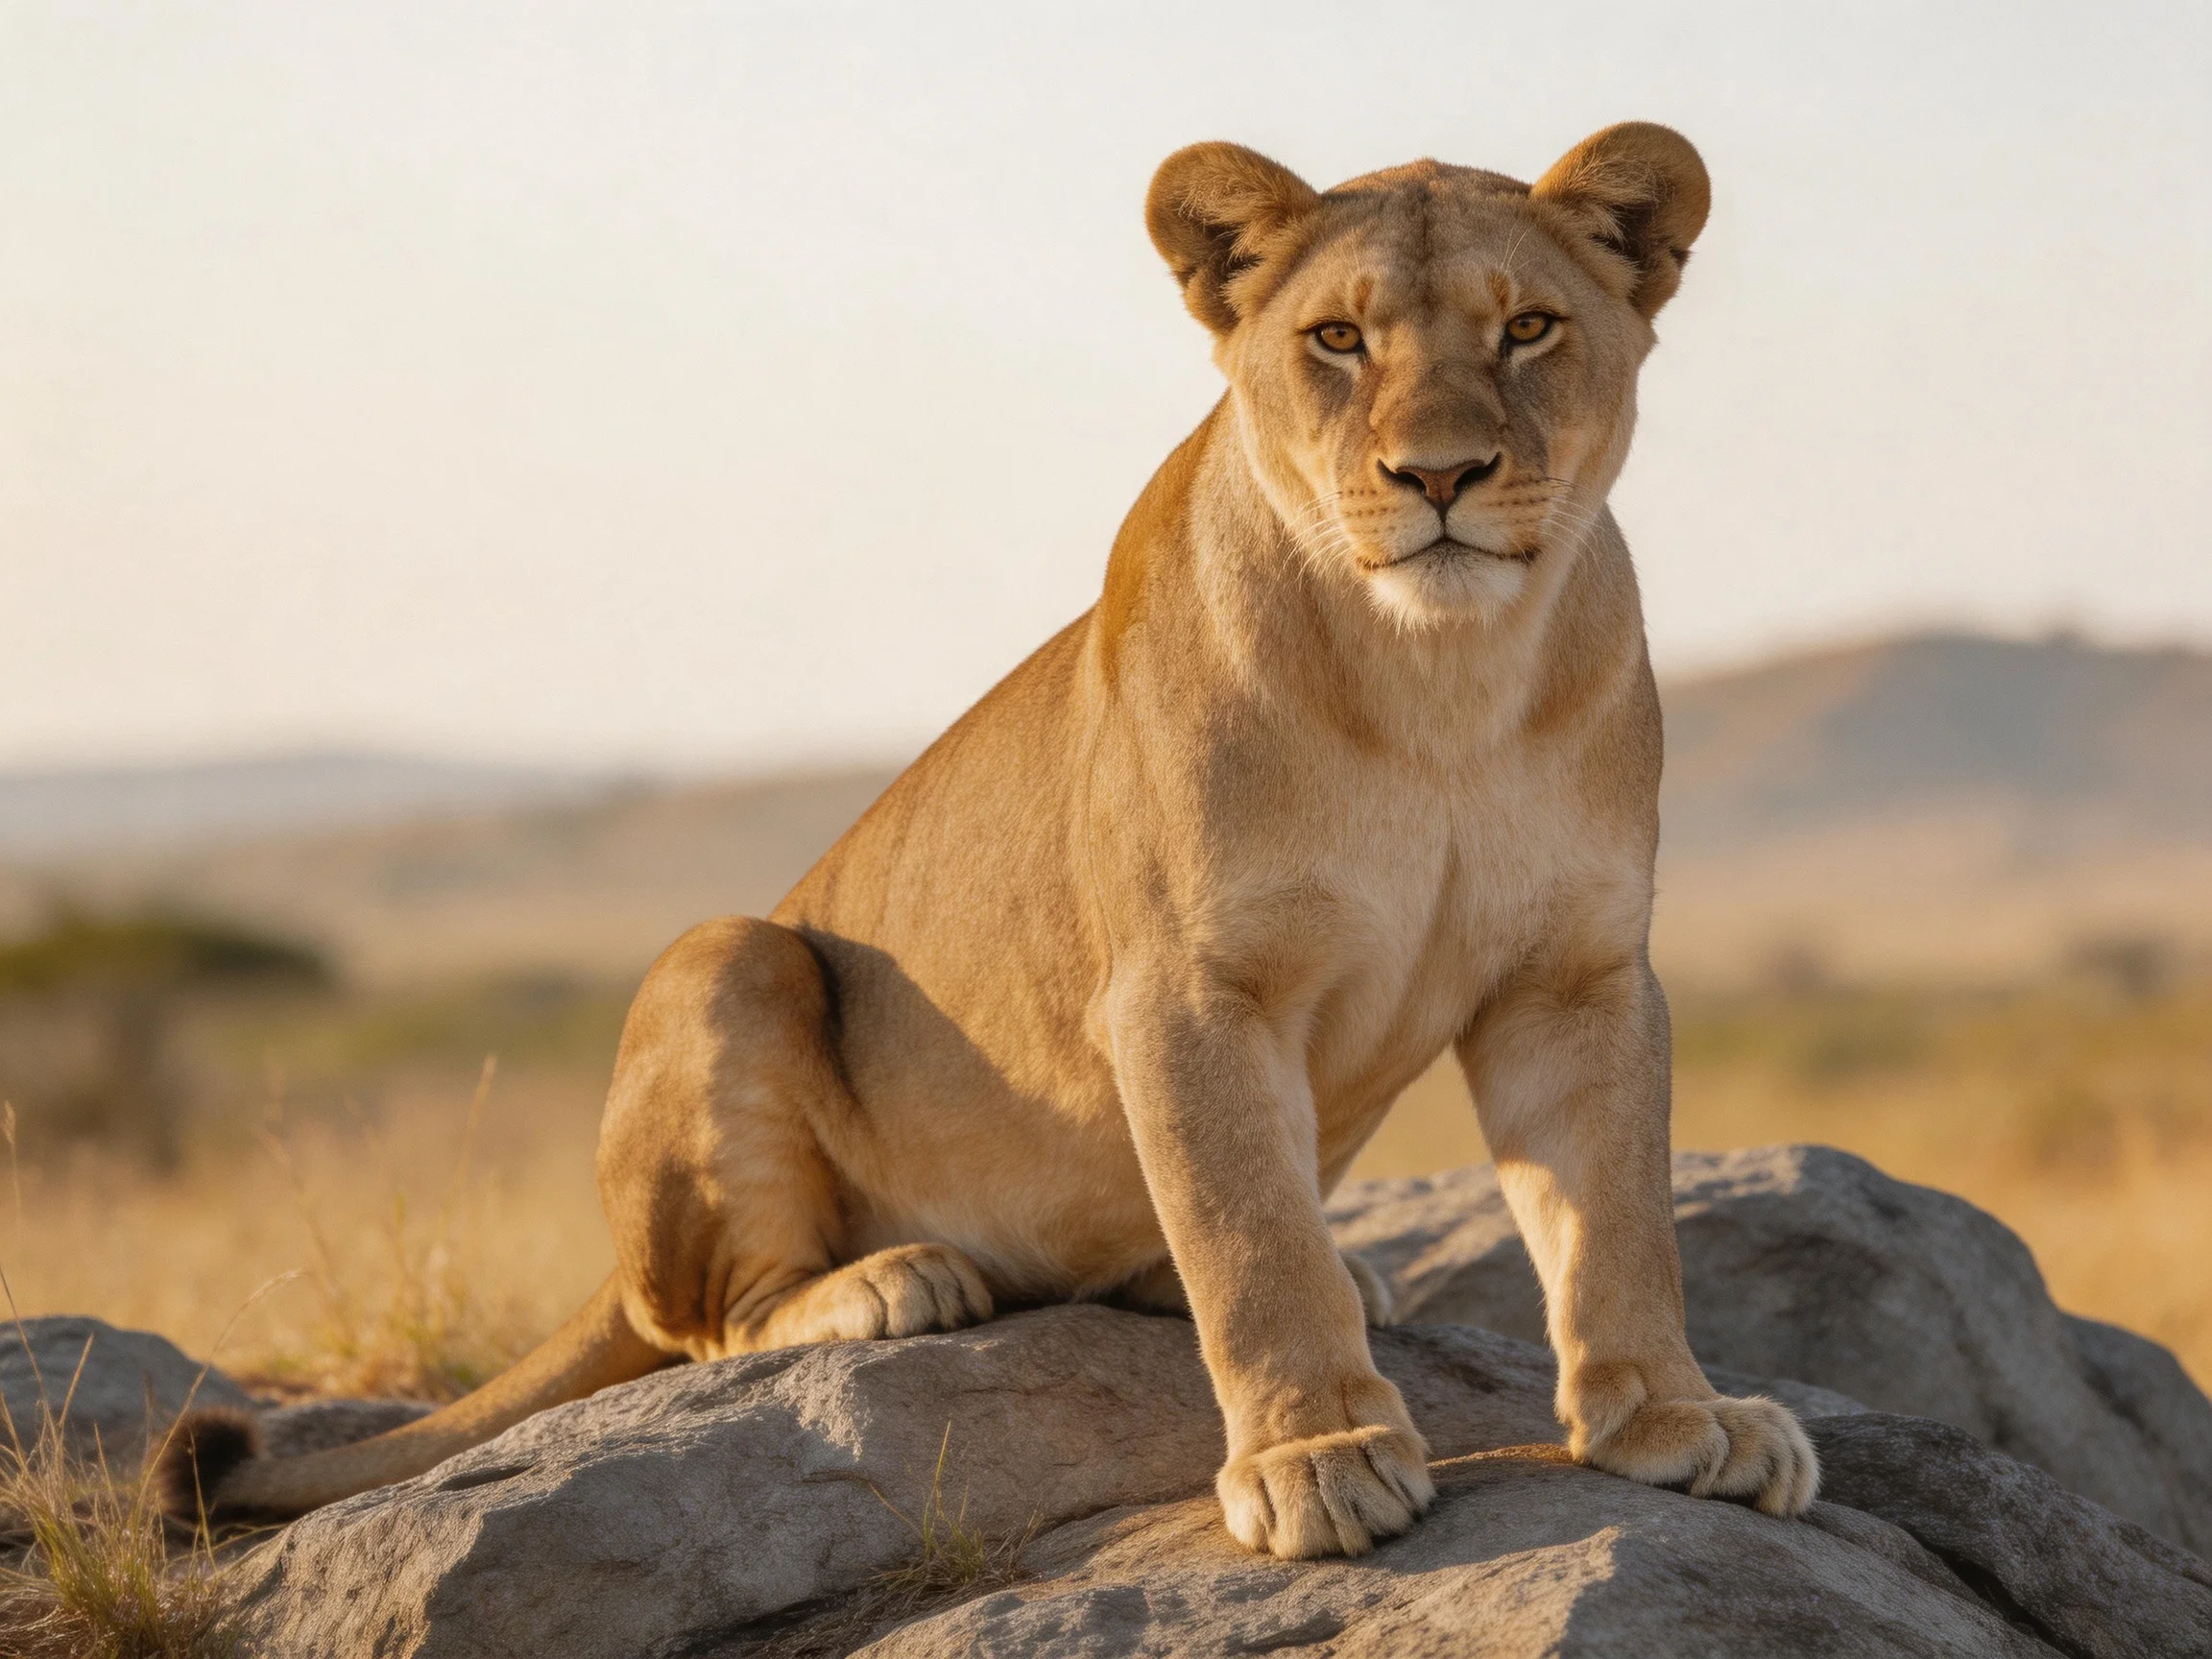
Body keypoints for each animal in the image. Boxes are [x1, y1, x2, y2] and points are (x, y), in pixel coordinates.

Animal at [159, 121, 1817, 1558]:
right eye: (1338, 342)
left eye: (1529, 328)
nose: (1440, 476)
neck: (1442, 680)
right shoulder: (1186, 987)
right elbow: (1249, 1240)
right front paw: (1318, 1455)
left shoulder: (1579, 975)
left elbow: (1615, 1217)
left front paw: (1678, 1418)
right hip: (727, 953)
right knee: (706, 1321)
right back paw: (896, 1282)